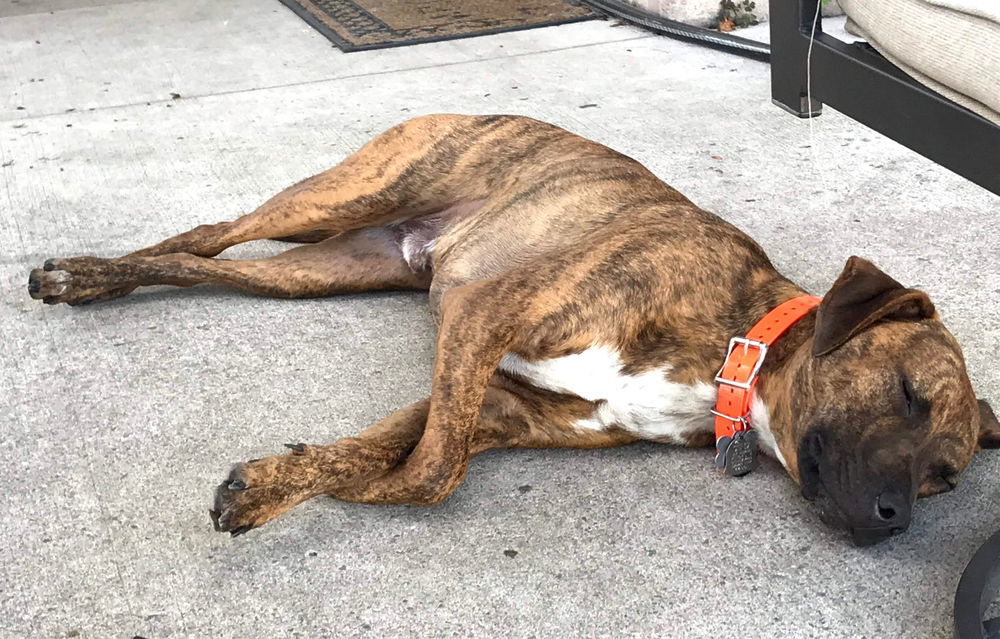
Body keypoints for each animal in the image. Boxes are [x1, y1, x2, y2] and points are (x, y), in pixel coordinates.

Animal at [27, 115, 996, 544]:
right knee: (206, 233)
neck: (734, 348)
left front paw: (287, 481)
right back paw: (81, 272)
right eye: (907, 393)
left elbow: (410, 456)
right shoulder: (482, 316)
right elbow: (430, 472)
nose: (898, 518)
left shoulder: (496, 397)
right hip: (349, 193)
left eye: (946, 477)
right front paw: (323, 486)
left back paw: (94, 279)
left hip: (326, 268)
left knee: (207, 263)